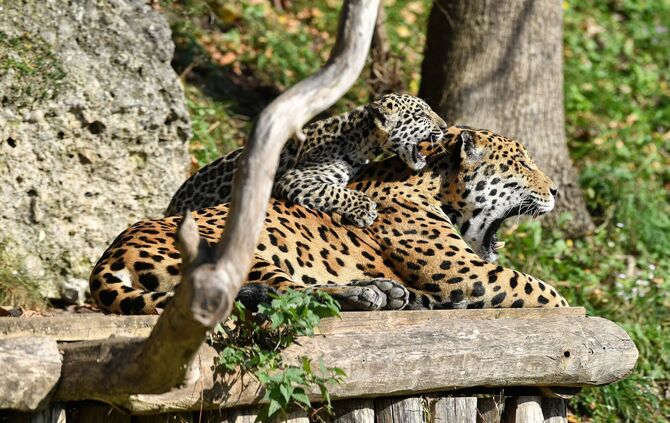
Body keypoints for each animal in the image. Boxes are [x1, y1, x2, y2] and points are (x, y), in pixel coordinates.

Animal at [90, 125, 567, 315]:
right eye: (523, 164)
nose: (557, 190)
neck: (431, 183)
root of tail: (107, 258)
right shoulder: (464, 272)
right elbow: (538, 287)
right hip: (241, 247)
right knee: (286, 295)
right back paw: (373, 294)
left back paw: (390, 293)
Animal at [166, 93, 448, 228]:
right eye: (422, 115)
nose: (445, 127)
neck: (363, 141)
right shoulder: (297, 177)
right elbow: (336, 192)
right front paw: (365, 210)